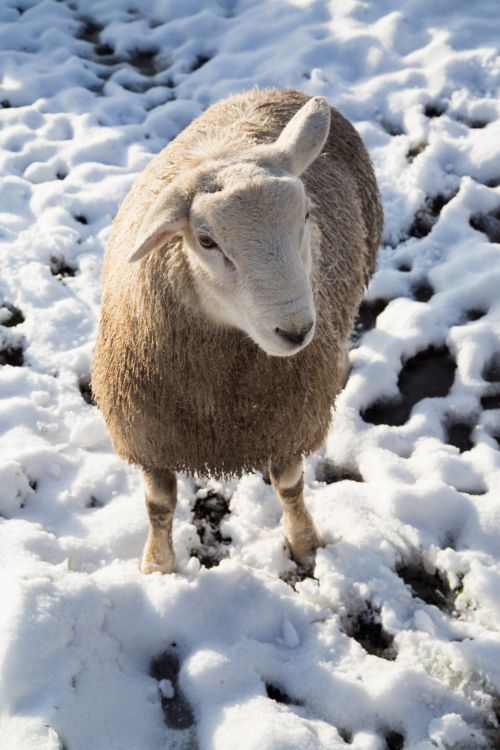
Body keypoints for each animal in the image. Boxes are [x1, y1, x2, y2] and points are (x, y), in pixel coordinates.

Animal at [93, 88, 382, 576]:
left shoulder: (287, 423)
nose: (296, 331)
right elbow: (159, 506)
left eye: (307, 215)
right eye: (207, 240)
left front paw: (304, 543)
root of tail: (279, 89)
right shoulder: (148, 432)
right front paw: (158, 567)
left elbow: (290, 488)